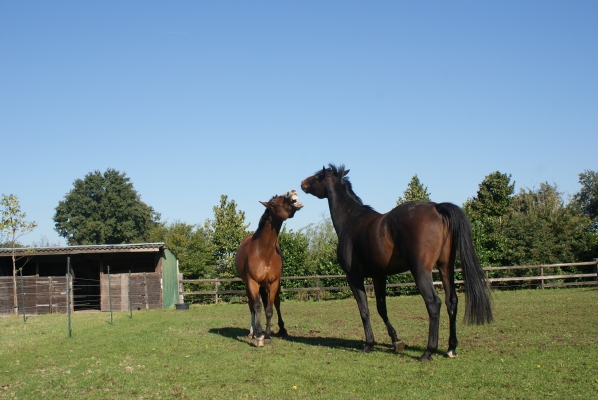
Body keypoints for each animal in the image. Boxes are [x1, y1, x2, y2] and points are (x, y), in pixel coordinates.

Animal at [236, 189, 304, 346]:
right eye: (272, 202)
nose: (291, 191)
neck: (264, 252)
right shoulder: (253, 282)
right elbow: (257, 306)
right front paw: (258, 335)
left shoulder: (274, 283)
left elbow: (269, 309)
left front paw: (267, 336)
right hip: (251, 285)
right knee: (251, 306)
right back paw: (252, 332)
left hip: (267, 285)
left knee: (275, 303)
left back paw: (281, 329)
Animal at [300, 164, 492, 360]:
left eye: (318, 177)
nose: (302, 183)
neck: (351, 219)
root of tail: (437, 208)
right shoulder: (379, 276)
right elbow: (381, 308)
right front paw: (396, 341)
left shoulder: (353, 276)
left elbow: (364, 309)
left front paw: (369, 344)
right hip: (446, 268)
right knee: (451, 301)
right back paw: (451, 348)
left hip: (421, 271)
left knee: (433, 303)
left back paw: (428, 351)